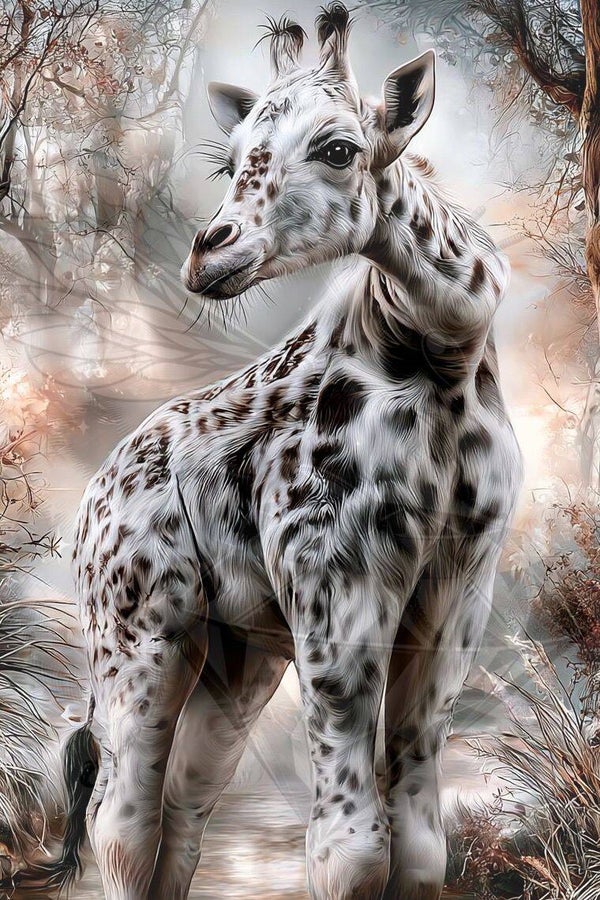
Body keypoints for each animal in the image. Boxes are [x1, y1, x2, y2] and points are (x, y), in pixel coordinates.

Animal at [49, 5, 522, 899]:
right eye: (230, 162)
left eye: (339, 149)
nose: (210, 253)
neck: (445, 355)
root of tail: (90, 502)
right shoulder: (336, 574)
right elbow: (349, 846)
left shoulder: (459, 585)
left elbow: (418, 842)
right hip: (140, 632)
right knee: (118, 820)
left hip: (235, 658)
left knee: (181, 815)